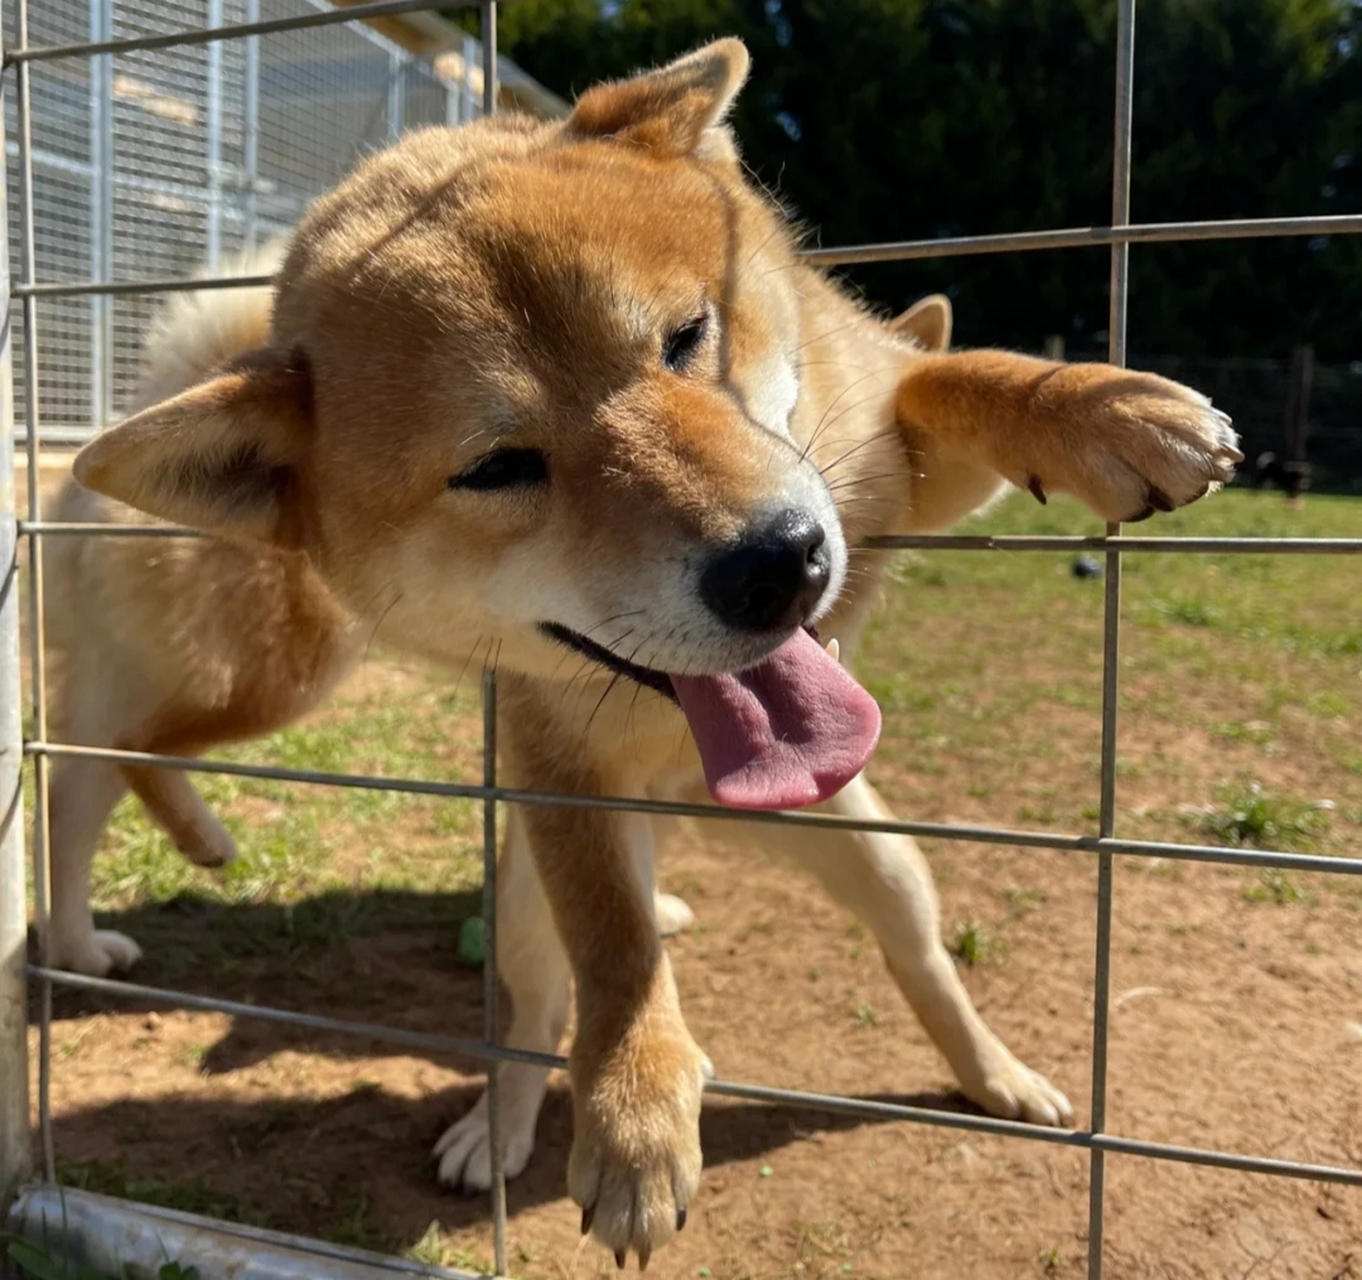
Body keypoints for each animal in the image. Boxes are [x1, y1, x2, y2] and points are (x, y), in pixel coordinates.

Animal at [64, 37, 1242, 1258]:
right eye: (497, 467)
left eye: (687, 337)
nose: (781, 565)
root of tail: (694, 799)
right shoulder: (561, 776)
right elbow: (617, 953)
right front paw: (634, 1108)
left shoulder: (899, 464)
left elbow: (967, 378)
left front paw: (1116, 414)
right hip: (453, 832)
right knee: (533, 1006)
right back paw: (492, 1119)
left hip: (881, 861)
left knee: (923, 964)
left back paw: (999, 1075)